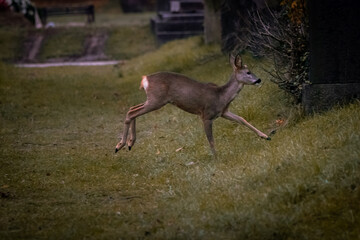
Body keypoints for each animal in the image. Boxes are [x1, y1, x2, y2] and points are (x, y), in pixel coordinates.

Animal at [115, 54, 270, 156]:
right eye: (248, 72)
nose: (259, 80)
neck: (221, 95)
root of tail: (145, 79)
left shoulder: (223, 112)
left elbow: (242, 119)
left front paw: (265, 136)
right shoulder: (206, 115)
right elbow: (211, 139)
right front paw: (216, 157)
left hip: (153, 100)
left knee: (132, 109)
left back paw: (129, 143)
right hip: (156, 100)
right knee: (132, 112)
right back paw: (120, 145)